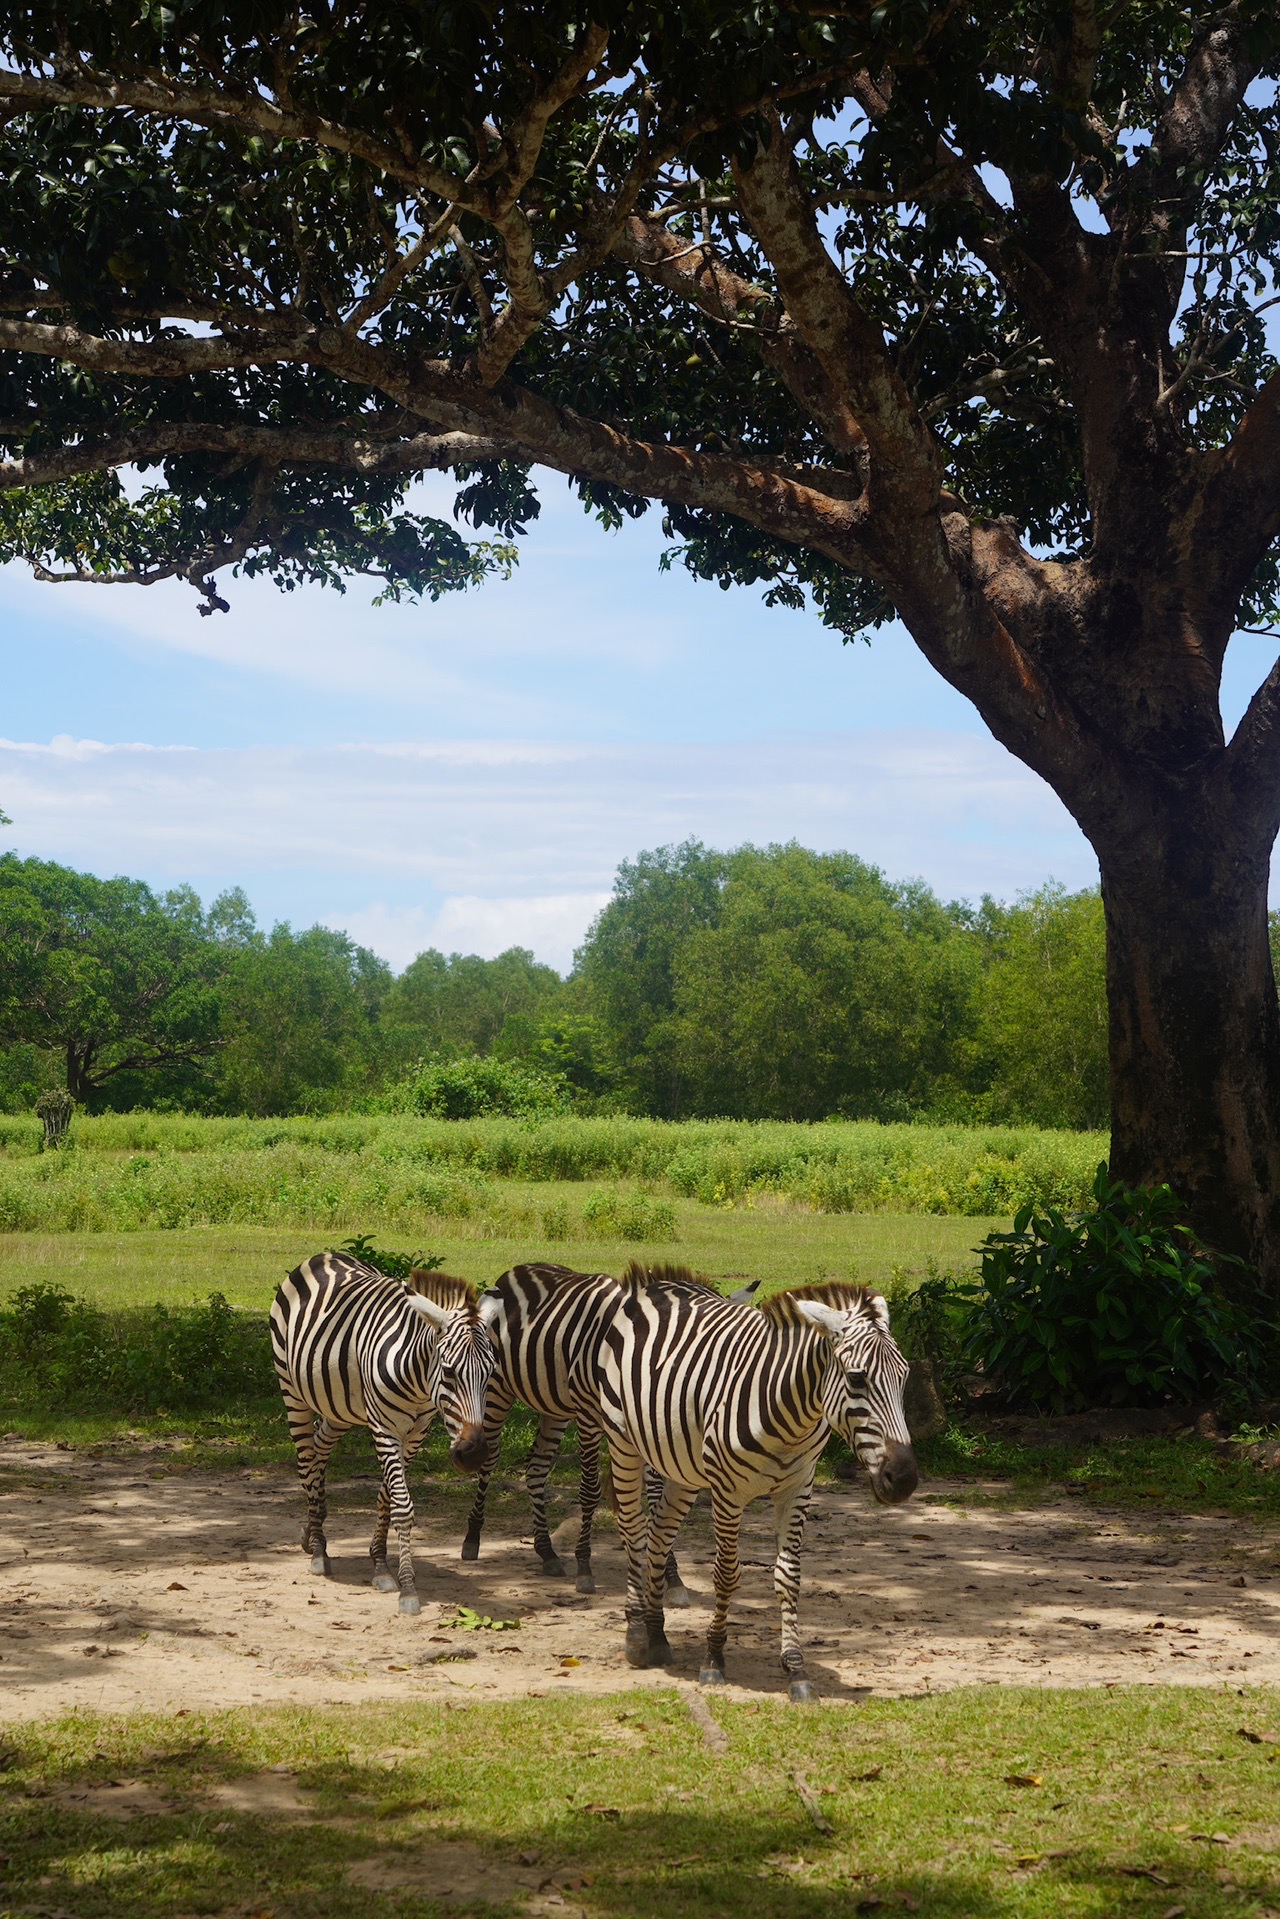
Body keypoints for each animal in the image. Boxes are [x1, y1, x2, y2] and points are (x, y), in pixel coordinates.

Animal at [270, 1251, 498, 1611]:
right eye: (448, 1372)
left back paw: (311, 1530)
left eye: (490, 1373)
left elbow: (387, 1496)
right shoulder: (384, 1426)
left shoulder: (417, 1432)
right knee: (307, 1459)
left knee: (319, 1448)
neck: (417, 1379)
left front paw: (379, 1563)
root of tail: (325, 1255)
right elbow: (402, 1504)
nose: (473, 1454)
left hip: (341, 1406)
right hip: (292, 1391)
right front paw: (408, 1587)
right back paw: (318, 1547)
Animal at [594, 1274, 917, 1696]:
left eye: (905, 1376)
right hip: (624, 1442)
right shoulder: (727, 1491)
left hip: (683, 1467)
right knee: (634, 1529)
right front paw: (714, 1658)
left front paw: (796, 1668)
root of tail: (658, 1283)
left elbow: (789, 1575)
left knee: (660, 1532)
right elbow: (727, 1574)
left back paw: (657, 1634)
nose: (905, 1479)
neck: (790, 1416)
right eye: (856, 1378)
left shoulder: (799, 1486)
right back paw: (635, 1636)